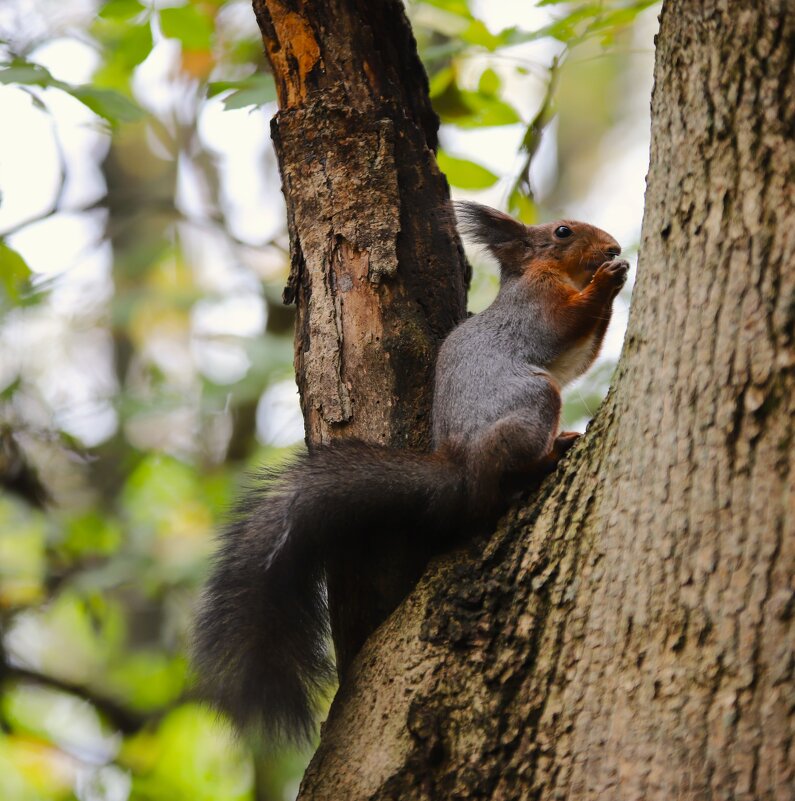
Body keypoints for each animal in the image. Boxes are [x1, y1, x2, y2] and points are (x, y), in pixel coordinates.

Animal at [191, 203, 628, 740]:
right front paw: (609, 280)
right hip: (532, 405)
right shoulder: (536, 305)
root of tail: (463, 471)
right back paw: (551, 454)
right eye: (563, 231)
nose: (613, 247)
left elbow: (584, 351)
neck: (547, 272)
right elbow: (563, 325)